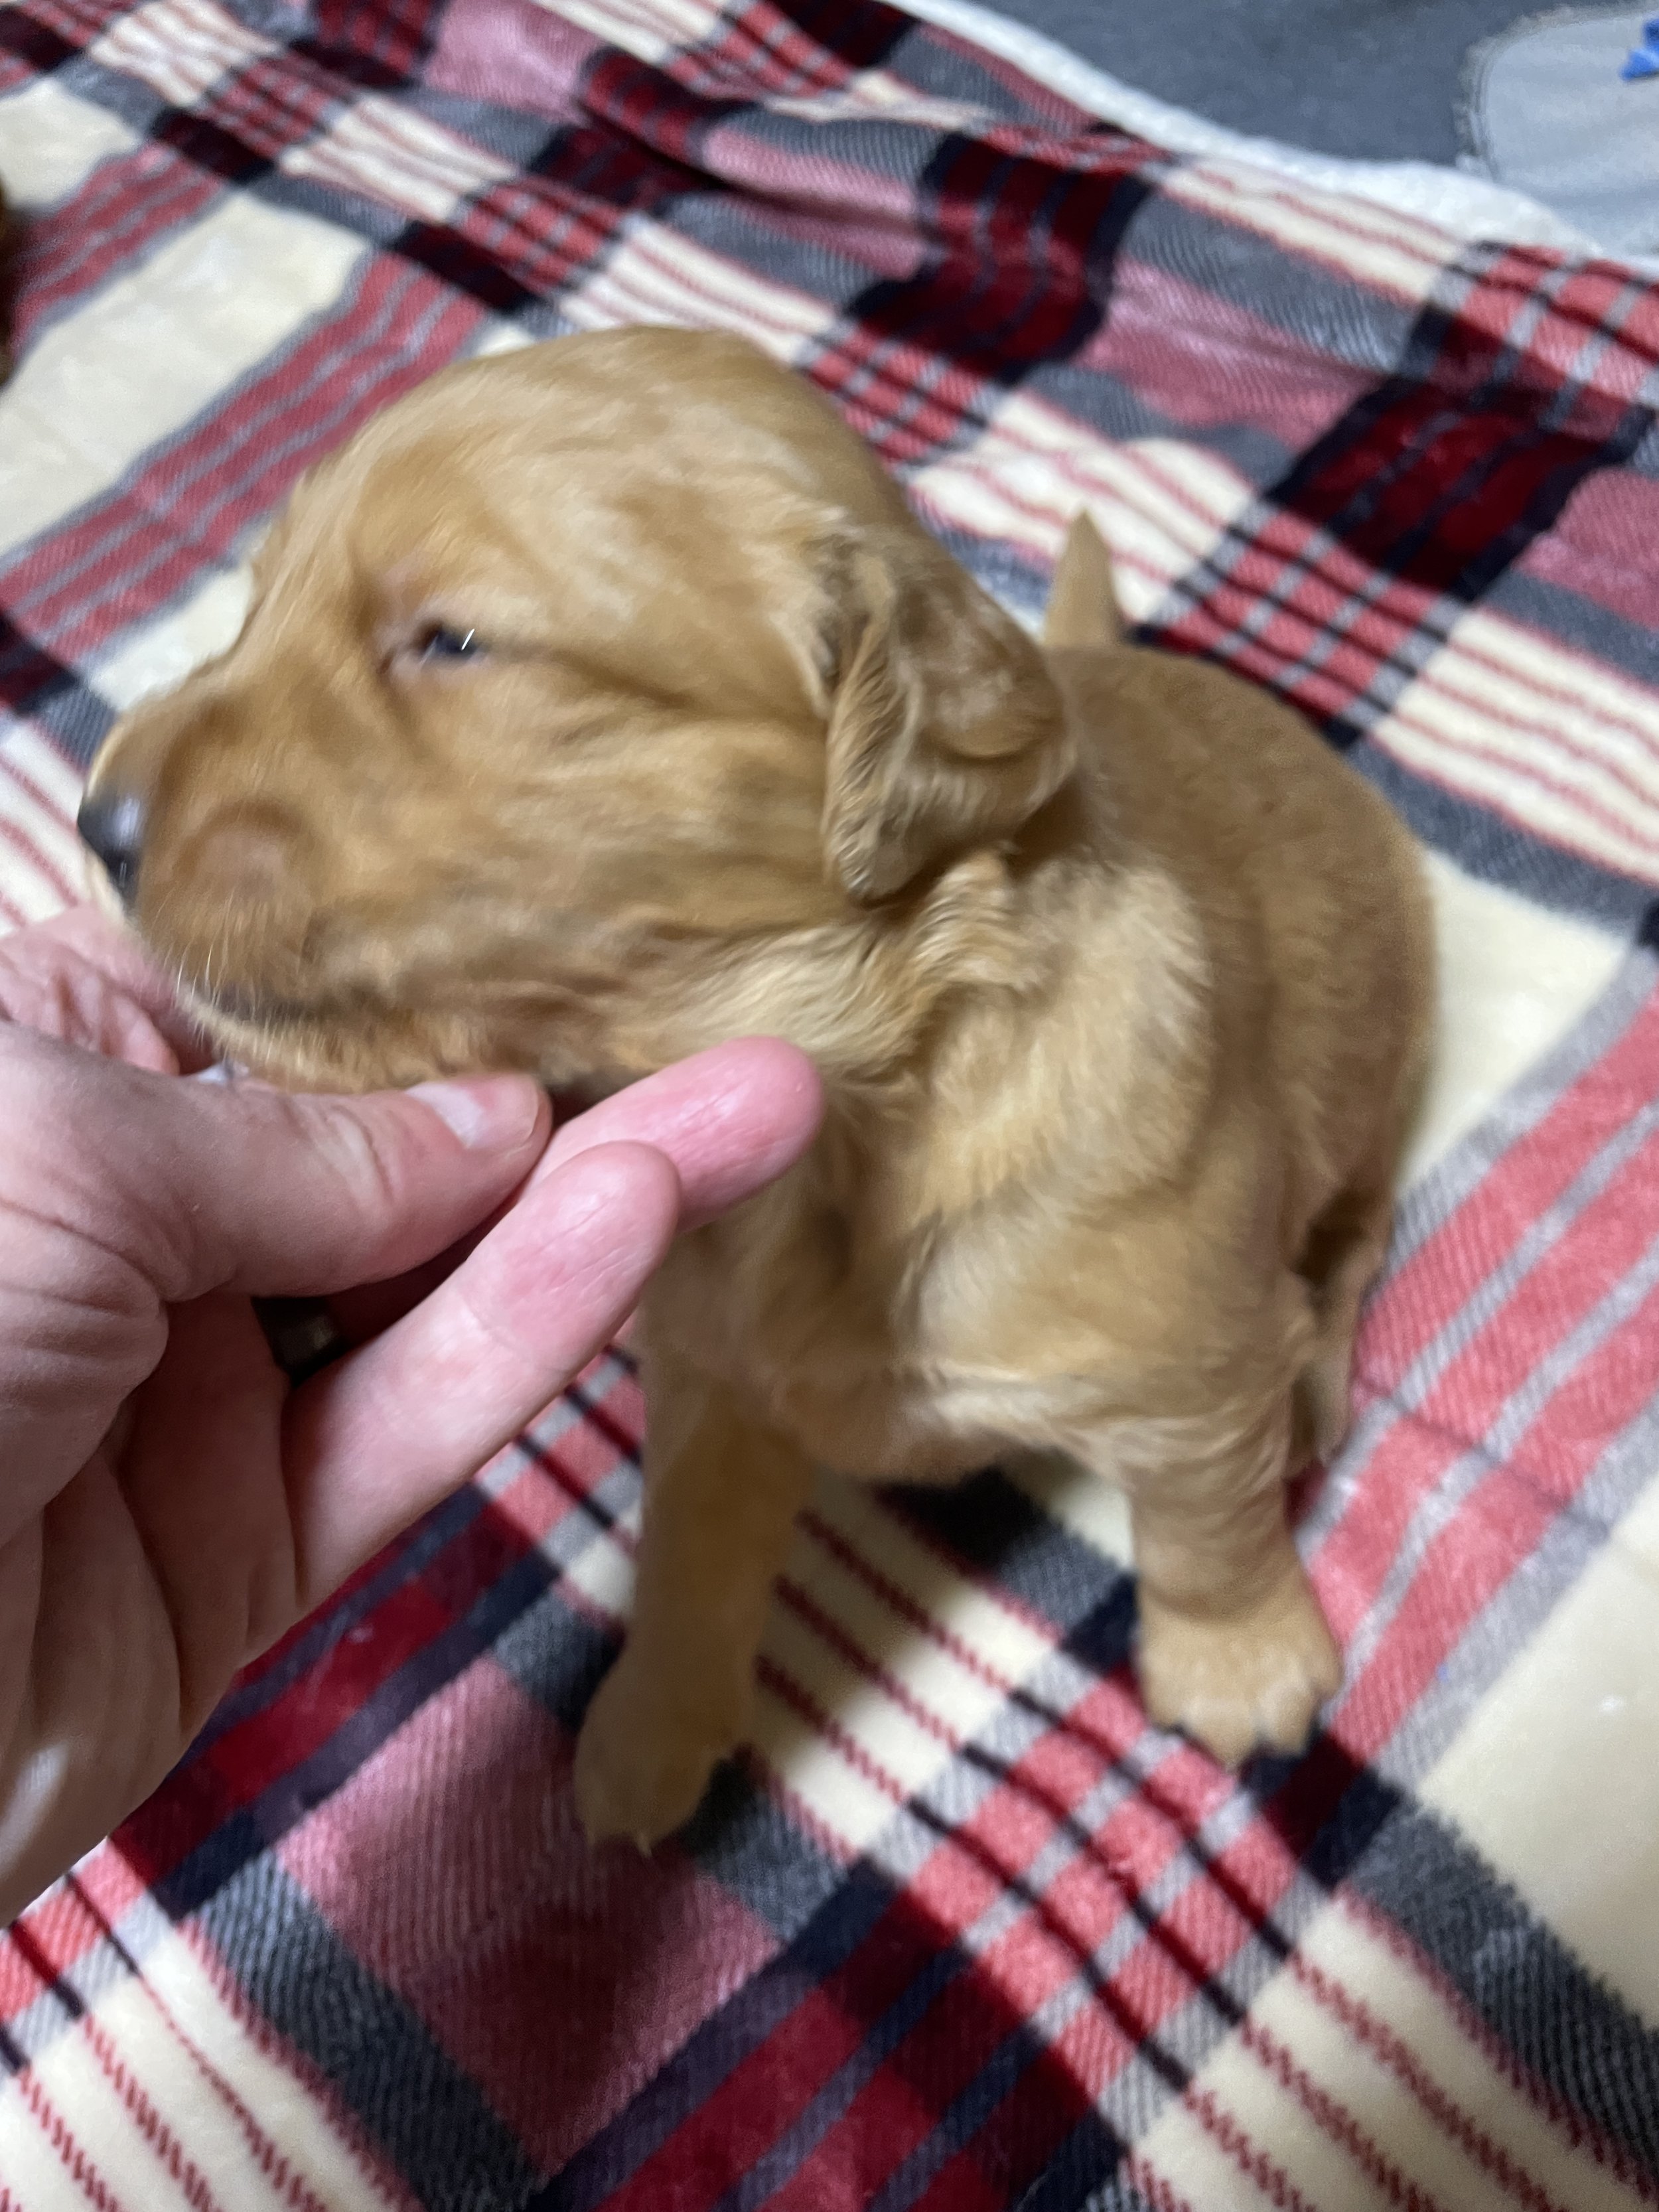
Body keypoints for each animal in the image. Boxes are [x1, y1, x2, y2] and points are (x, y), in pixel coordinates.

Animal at [79, 327, 1433, 1843]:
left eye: (451, 640)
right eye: (260, 599)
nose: (93, 822)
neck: (847, 1130)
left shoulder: (1184, 1374)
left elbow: (1206, 1524)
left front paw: (1238, 1662)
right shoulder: (712, 1375)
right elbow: (690, 1545)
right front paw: (650, 1729)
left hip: (1380, 1070)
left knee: (1352, 1241)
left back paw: (1312, 1389)